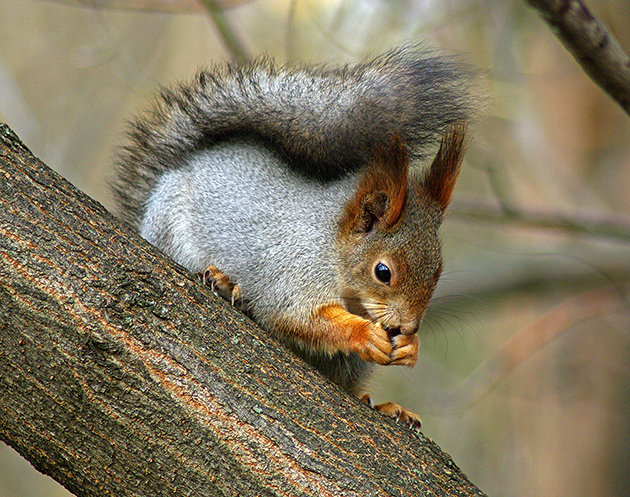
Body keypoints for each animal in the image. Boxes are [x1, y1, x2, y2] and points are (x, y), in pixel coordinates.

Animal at [112, 44, 474, 428]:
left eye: (437, 271)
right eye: (383, 272)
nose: (407, 326)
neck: (331, 245)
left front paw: (410, 347)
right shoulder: (293, 268)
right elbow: (297, 316)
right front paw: (363, 333)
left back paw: (384, 406)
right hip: (171, 230)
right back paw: (224, 282)